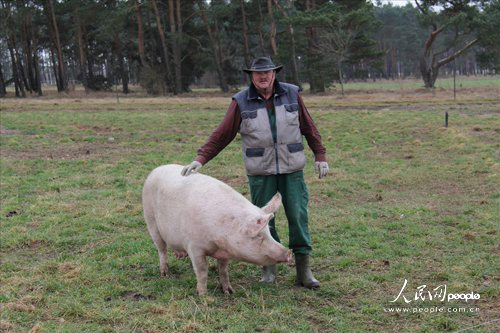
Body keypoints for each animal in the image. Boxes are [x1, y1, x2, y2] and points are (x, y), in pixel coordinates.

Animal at [143, 164, 292, 294]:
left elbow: (223, 270)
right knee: (161, 249)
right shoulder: (194, 246)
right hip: (150, 220)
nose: (289, 252)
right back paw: (165, 274)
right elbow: (202, 270)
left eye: (269, 232)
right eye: (258, 236)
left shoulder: (225, 251)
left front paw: (229, 292)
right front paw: (202, 294)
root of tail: (156, 169)